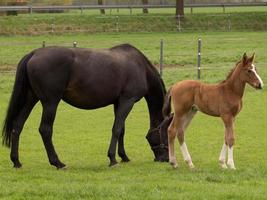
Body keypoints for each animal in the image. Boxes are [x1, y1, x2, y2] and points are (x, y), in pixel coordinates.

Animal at [2, 44, 170, 169]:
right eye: (167, 133)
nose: (165, 158)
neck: (139, 66)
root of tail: (34, 53)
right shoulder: (127, 101)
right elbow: (116, 129)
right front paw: (112, 159)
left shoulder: (119, 102)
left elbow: (121, 129)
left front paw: (124, 156)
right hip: (50, 103)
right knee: (45, 129)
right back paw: (58, 163)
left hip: (31, 99)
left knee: (17, 126)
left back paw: (16, 161)